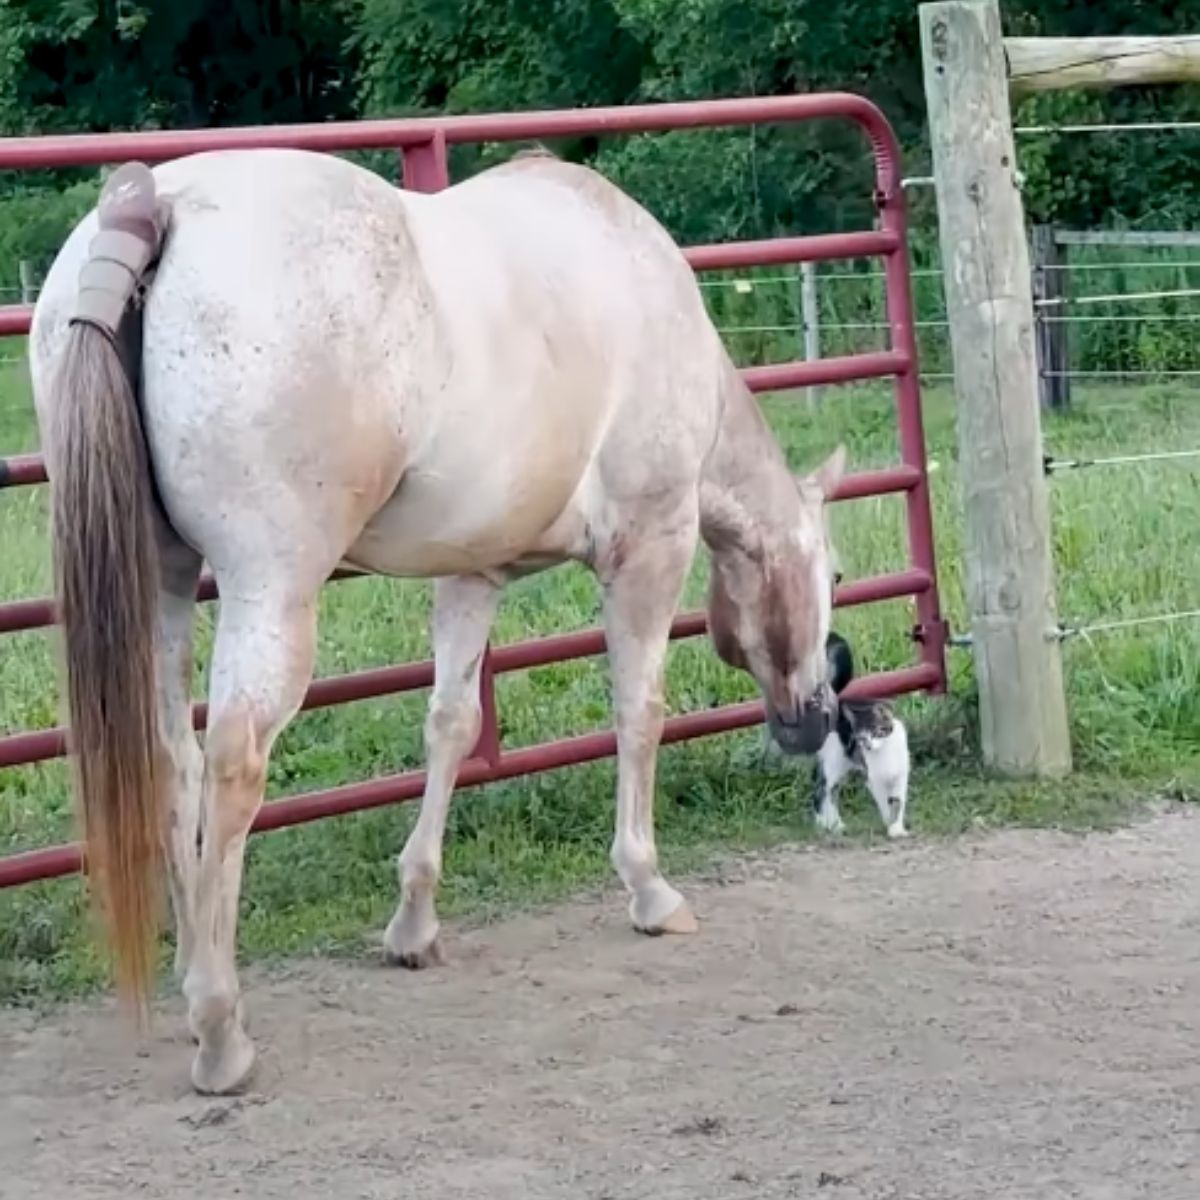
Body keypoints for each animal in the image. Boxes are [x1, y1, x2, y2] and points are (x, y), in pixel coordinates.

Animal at [32, 145, 849, 1094]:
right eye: (830, 573)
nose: (813, 719)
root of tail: (153, 205)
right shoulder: (649, 548)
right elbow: (638, 715)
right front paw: (649, 888)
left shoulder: (474, 572)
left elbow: (451, 726)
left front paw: (415, 921)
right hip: (270, 590)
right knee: (234, 764)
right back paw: (218, 1027)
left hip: (161, 583)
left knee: (172, 760)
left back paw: (192, 962)